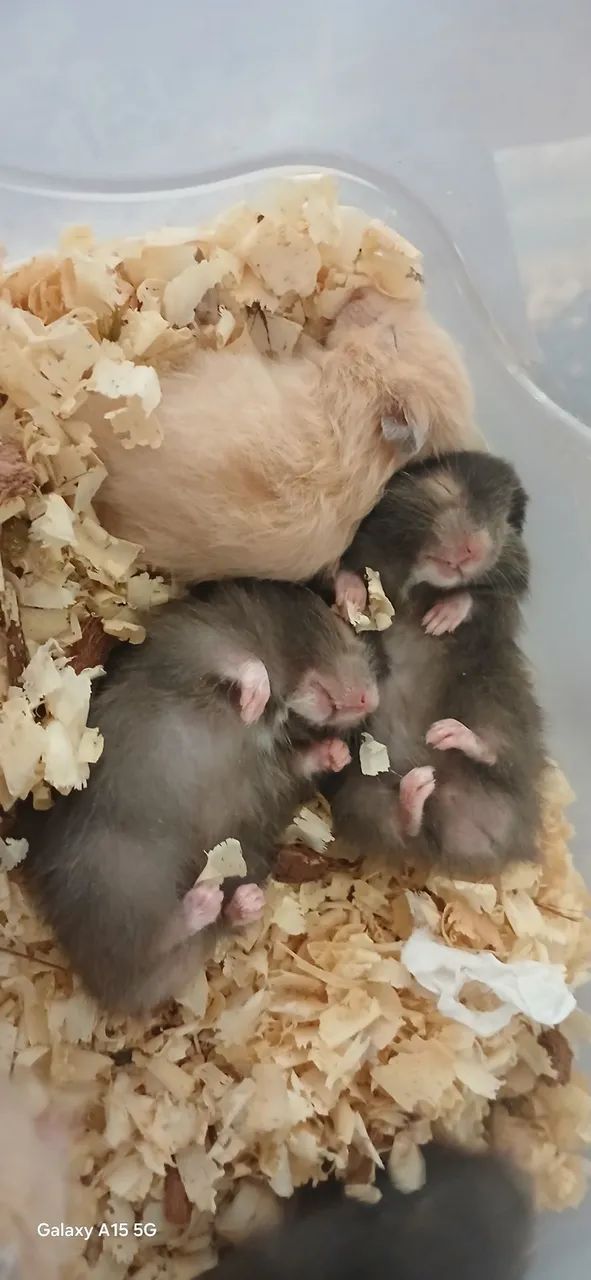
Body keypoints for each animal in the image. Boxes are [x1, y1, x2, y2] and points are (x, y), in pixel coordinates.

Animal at [22, 582, 378, 1016]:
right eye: (344, 631)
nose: (372, 700)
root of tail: (112, 995)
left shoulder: (276, 767)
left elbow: (298, 761)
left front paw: (337, 754)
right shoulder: (194, 639)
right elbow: (243, 661)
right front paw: (253, 703)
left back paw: (241, 902)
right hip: (115, 875)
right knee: (143, 943)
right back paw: (205, 900)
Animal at [328, 451, 545, 877]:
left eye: (504, 521)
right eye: (443, 488)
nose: (473, 550)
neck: (423, 583)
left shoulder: (503, 602)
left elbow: (479, 598)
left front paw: (439, 621)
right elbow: (346, 573)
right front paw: (355, 601)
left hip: (496, 694)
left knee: (495, 749)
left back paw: (447, 736)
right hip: (359, 793)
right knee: (401, 825)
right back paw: (417, 790)